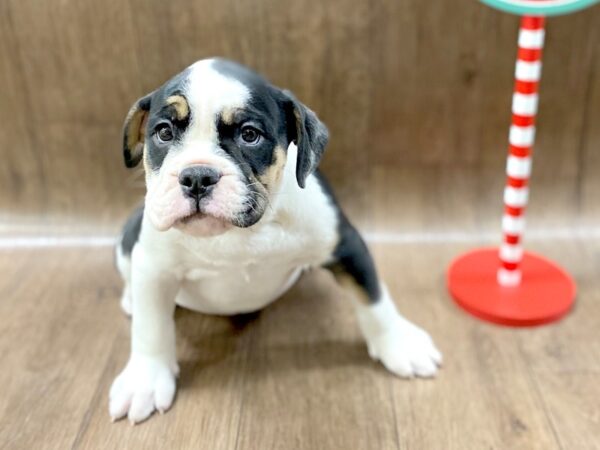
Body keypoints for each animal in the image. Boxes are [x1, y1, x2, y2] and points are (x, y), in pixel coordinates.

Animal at [111, 58, 440, 424]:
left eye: (249, 135)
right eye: (164, 133)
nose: (197, 176)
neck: (242, 231)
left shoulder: (346, 245)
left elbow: (374, 299)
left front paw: (400, 343)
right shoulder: (154, 268)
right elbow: (151, 327)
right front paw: (145, 380)